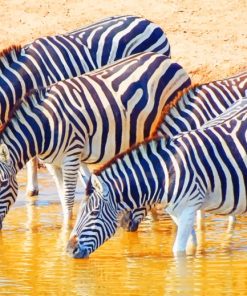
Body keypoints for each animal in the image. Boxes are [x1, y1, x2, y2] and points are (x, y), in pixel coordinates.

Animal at [0, 51, 191, 227]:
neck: (44, 125)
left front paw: (65, 233)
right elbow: (63, 200)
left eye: (2, 183)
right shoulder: (53, 164)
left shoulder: (71, 157)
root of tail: (170, 61)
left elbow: (68, 202)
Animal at [66, 98, 247, 258]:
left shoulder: (189, 208)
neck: (165, 173)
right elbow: (191, 245)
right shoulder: (177, 212)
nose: (69, 250)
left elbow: (178, 251)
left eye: (94, 213)